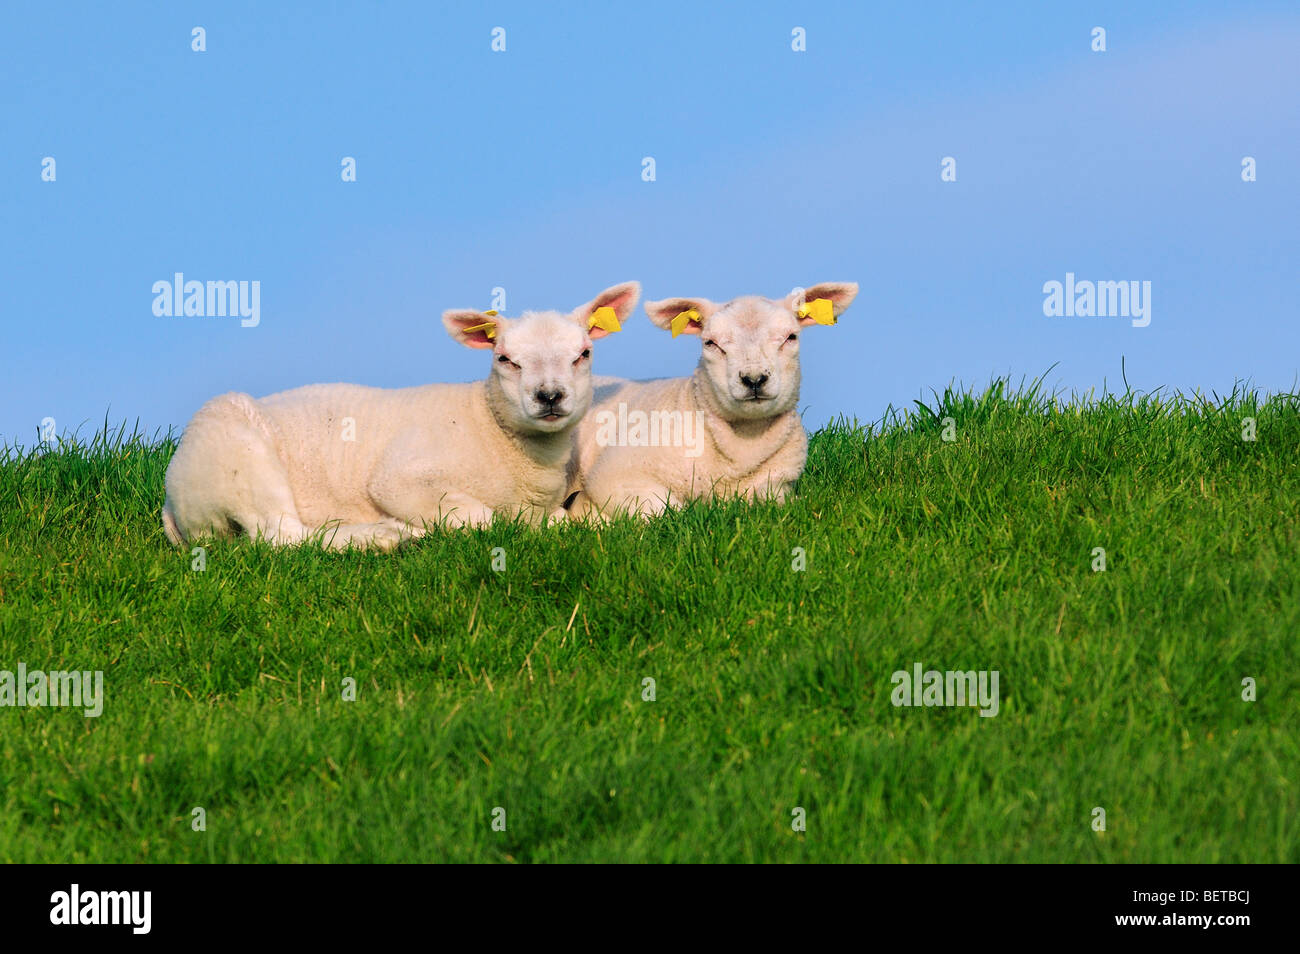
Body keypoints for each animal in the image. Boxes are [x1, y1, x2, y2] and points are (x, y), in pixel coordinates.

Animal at [163, 282, 644, 553]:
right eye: (505, 359)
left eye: (584, 354)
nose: (549, 396)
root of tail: (172, 505)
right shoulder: (401, 478)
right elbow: (482, 517)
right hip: (237, 453)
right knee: (282, 536)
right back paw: (383, 536)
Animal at [566, 282, 852, 519]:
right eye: (710, 343)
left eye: (791, 337)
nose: (754, 379)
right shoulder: (615, 472)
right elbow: (668, 512)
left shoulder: (777, 484)